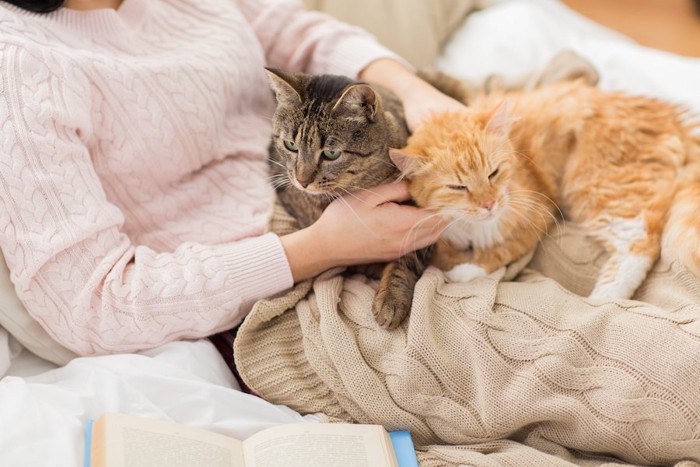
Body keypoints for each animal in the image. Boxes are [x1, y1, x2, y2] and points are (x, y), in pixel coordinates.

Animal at [392, 79, 696, 300]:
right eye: (458, 186)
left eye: (493, 173)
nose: (490, 204)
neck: (470, 227)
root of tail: (670, 116)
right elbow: (443, 255)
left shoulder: (538, 215)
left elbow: (500, 252)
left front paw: (464, 271)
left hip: (594, 184)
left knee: (639, 245)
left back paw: (601, 301)